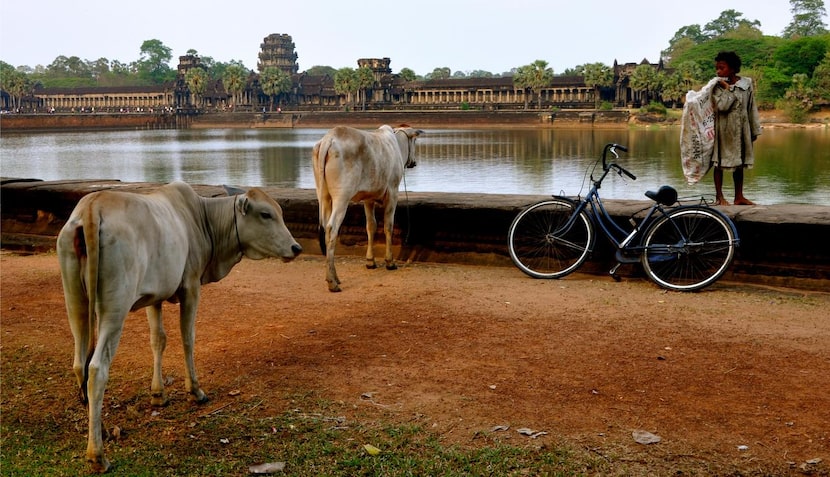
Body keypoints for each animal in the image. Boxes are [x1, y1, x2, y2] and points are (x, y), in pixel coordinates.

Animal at [56, 182, 302, 472]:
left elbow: (158, 340)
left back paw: (101, 430)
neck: (203, 219)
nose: (296, 247)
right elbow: (188, 337)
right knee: (97, 368)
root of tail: (92, 208)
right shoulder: (191, 286)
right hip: (115, 307)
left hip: (75, 300)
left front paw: (158, 394)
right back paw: (97, 455)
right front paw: (195, 391)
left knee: (79, 363)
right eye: (266, 214)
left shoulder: (154, 297)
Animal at [316, 124, 426, 292]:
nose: (414, 162)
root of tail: (329, 138)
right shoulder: (393, 193)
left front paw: (370, 261)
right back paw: (332, 282)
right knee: (331, 228)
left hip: (324, 196)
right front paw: (390, 262)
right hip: (342, 198)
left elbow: (370, 226)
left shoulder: (368, 199)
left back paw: (335, 277)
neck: (396, 144)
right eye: (414, 141)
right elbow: (388, 226)